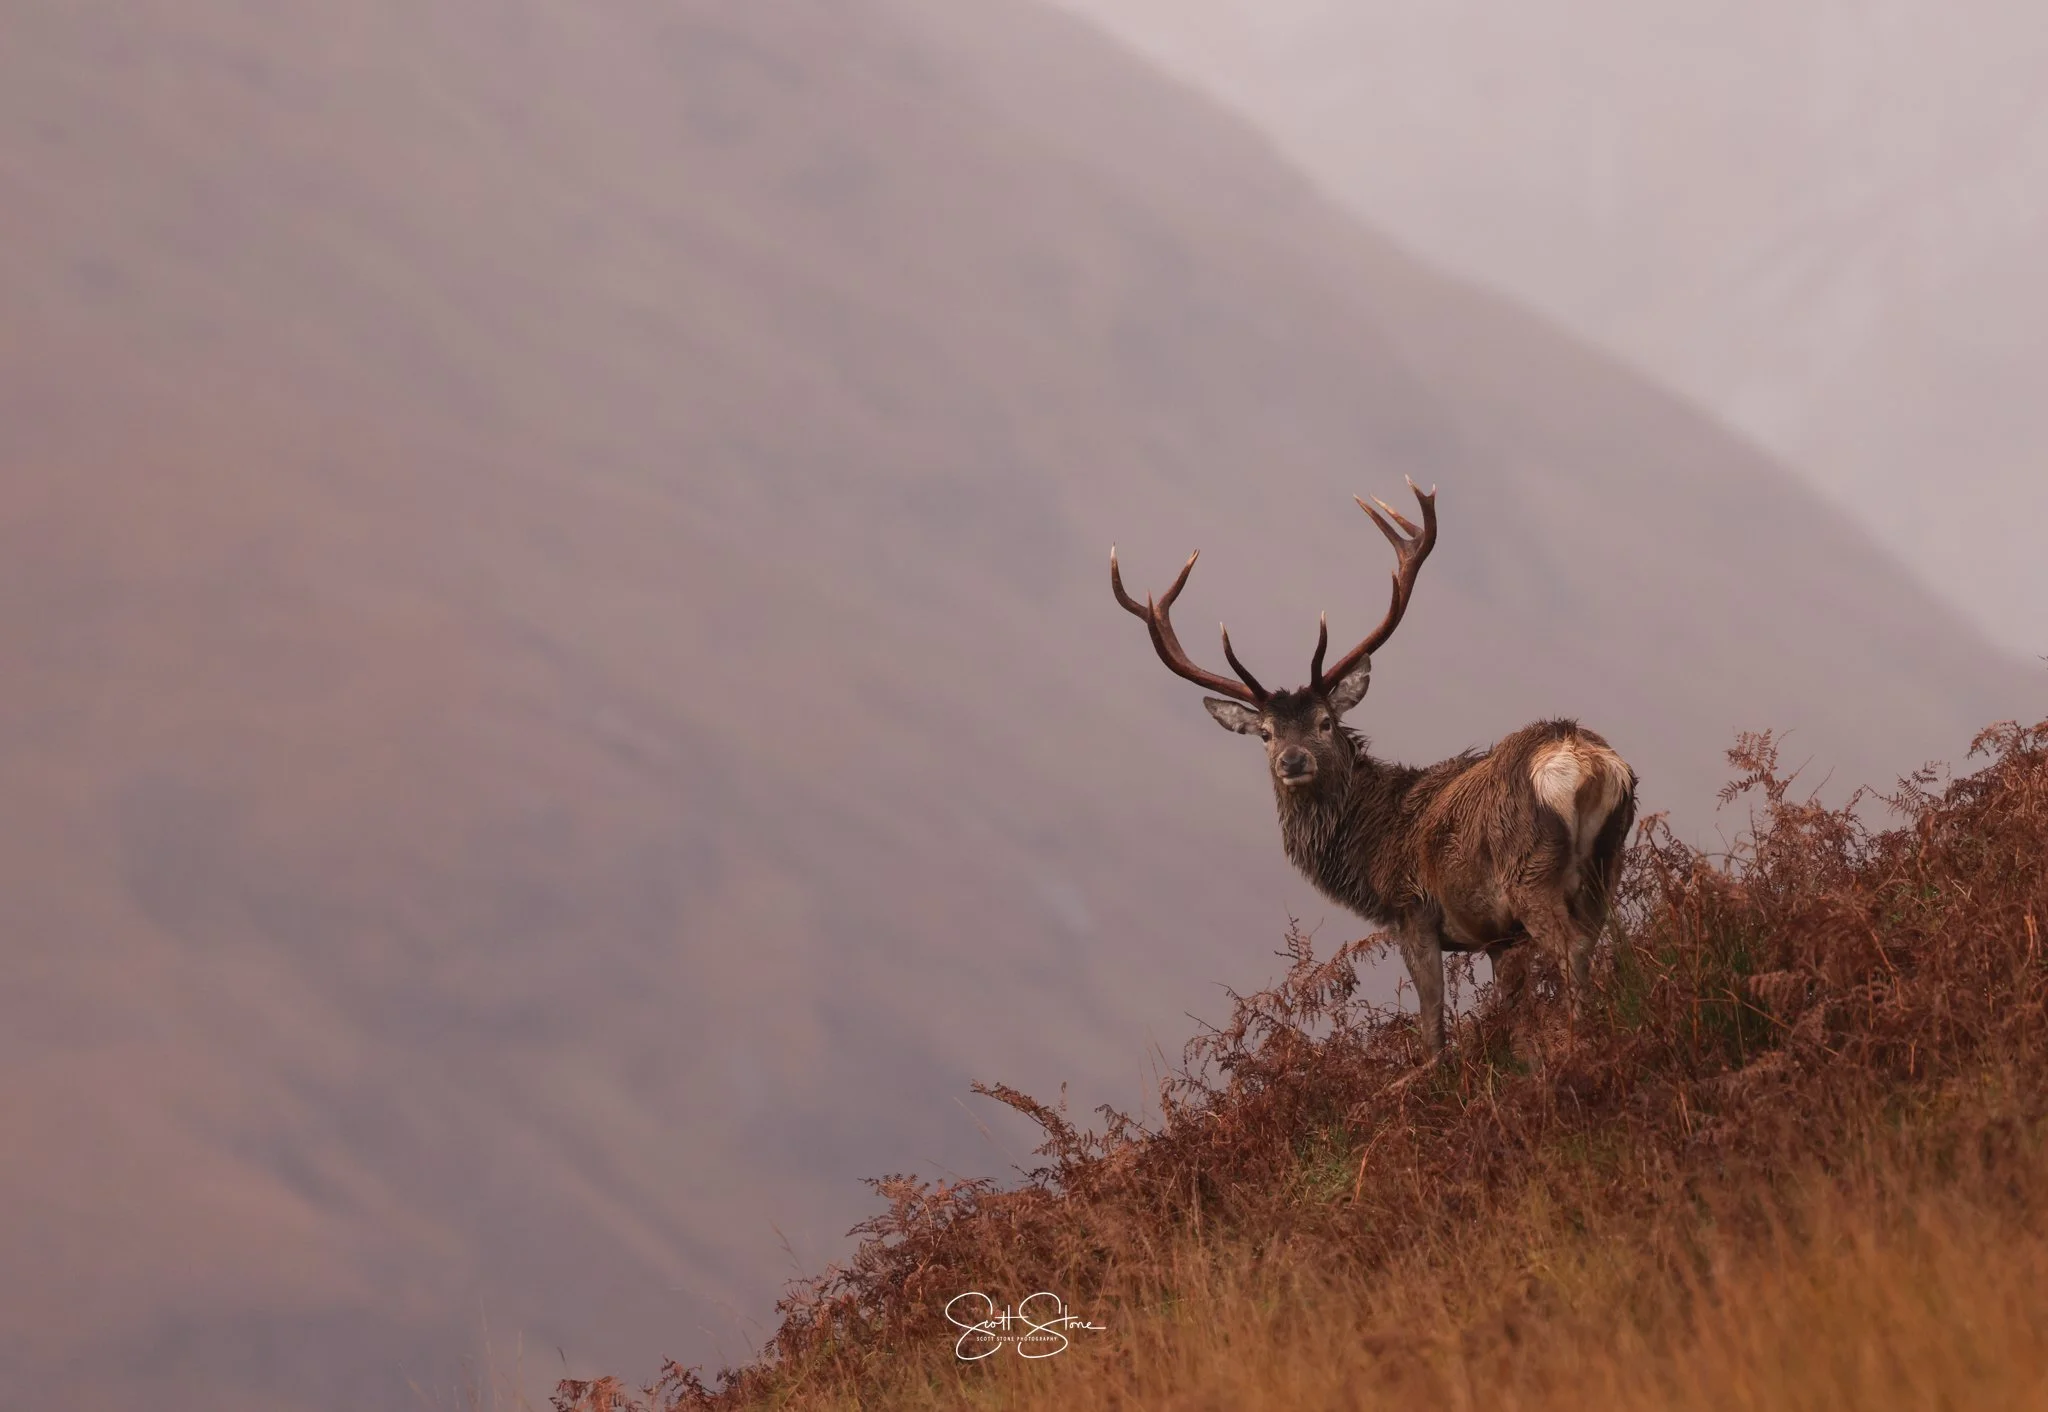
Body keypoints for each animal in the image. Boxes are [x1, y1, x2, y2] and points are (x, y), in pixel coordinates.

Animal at [1110, 481, 1637, 1057]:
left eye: (1324, 722)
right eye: (1266, 734)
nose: (1292, 761)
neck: (1371, 848)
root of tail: (1585, 762)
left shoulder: (1413, 910)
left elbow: (1433, 1029)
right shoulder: (1496, 935)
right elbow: (1515, 1024)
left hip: (1529, 874)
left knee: (1573, 951)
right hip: (1607, 860)